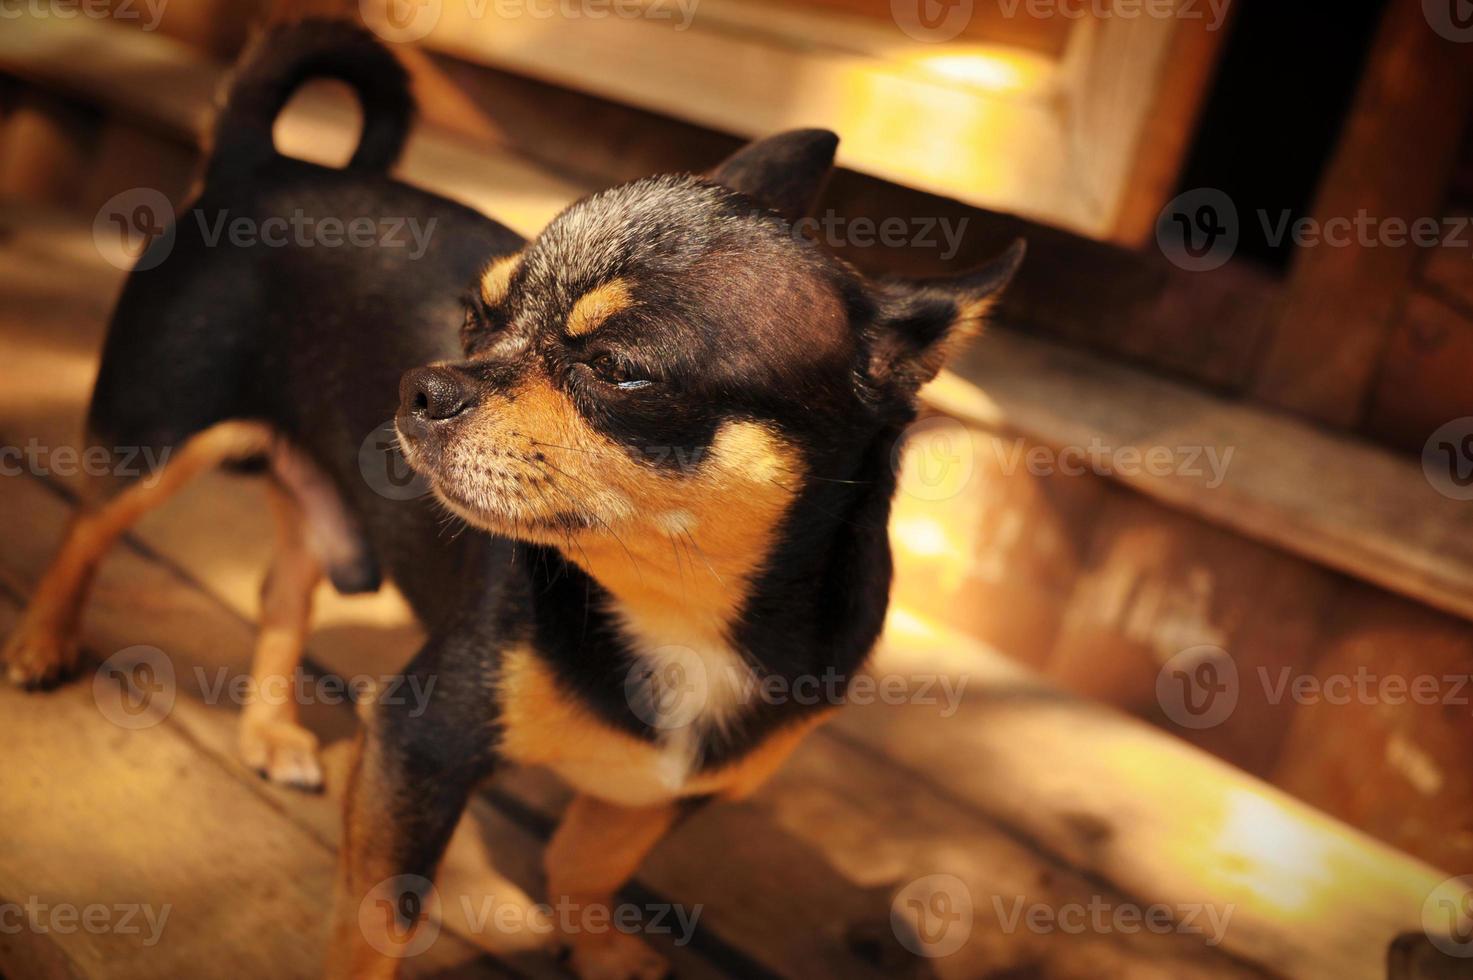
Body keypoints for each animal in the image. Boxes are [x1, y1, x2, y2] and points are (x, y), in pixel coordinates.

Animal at [0, 15, 1019, 978]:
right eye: (475, 320)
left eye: (616, 369)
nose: (422, 387)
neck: (674, 600)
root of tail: (265, 163)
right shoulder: (419, 741)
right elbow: (378, 925)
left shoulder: (673, 785)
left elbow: (587, 858)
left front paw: (596, 946)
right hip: (154, 435)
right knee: (89, 529)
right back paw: (43, 643)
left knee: (280, 585)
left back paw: (269, 729)